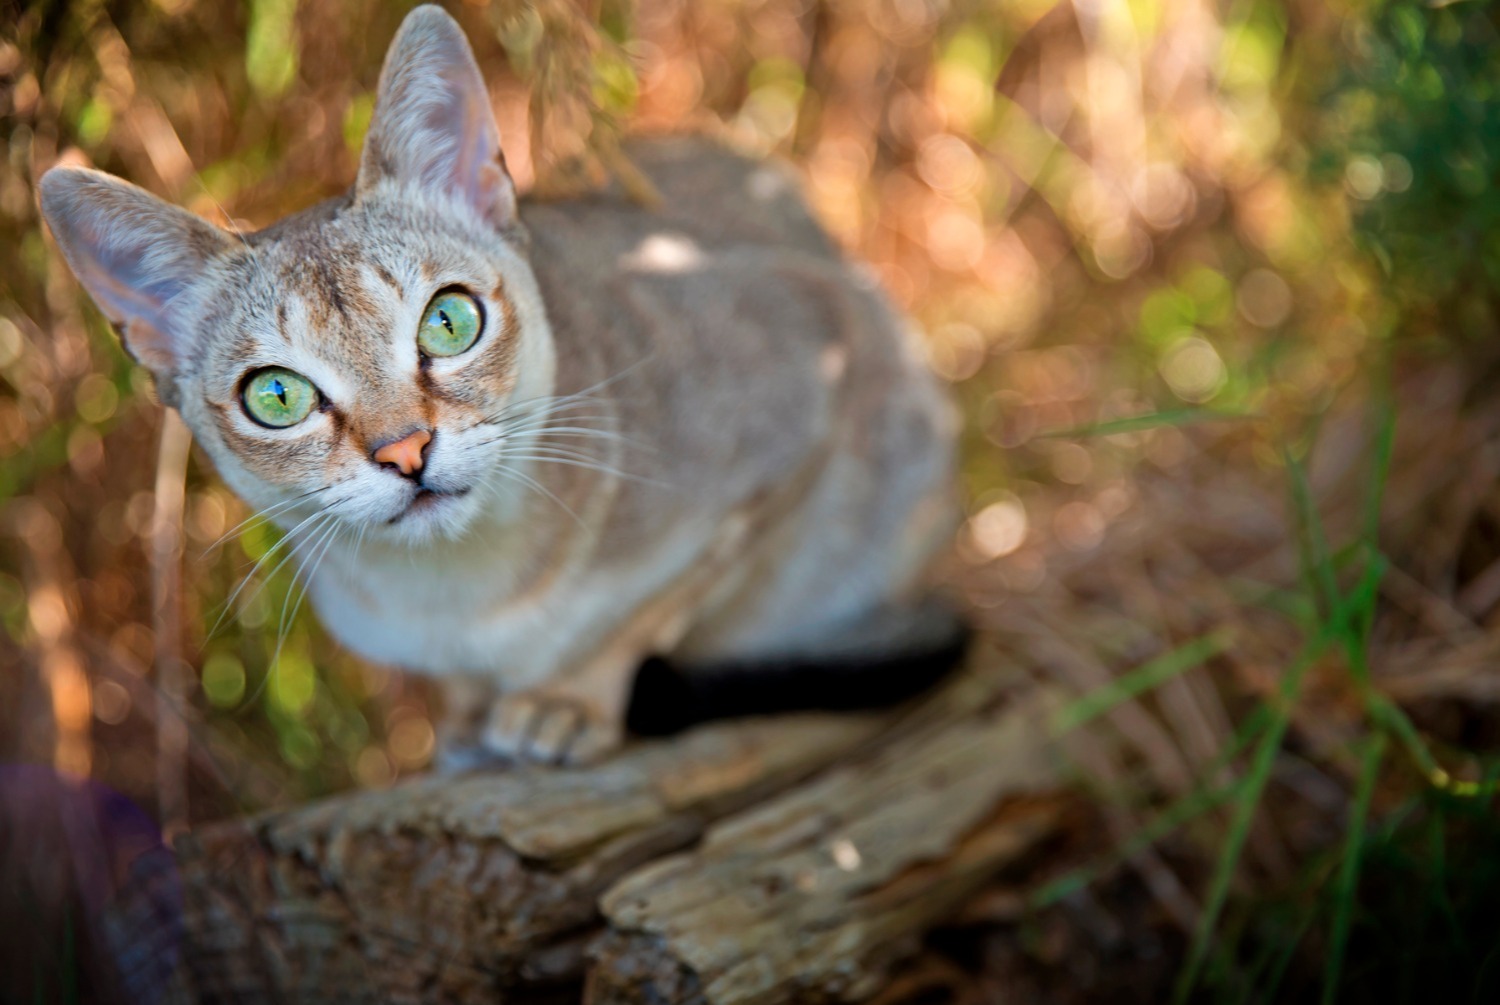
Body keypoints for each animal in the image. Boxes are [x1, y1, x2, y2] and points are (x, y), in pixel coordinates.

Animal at [46, 3, 966, 768]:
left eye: (449, 321)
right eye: (276, 397)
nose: (406, 450)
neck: (461, 597)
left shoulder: (810, 367)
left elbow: (656, 606)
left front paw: (566, 700)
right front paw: (465, 718)